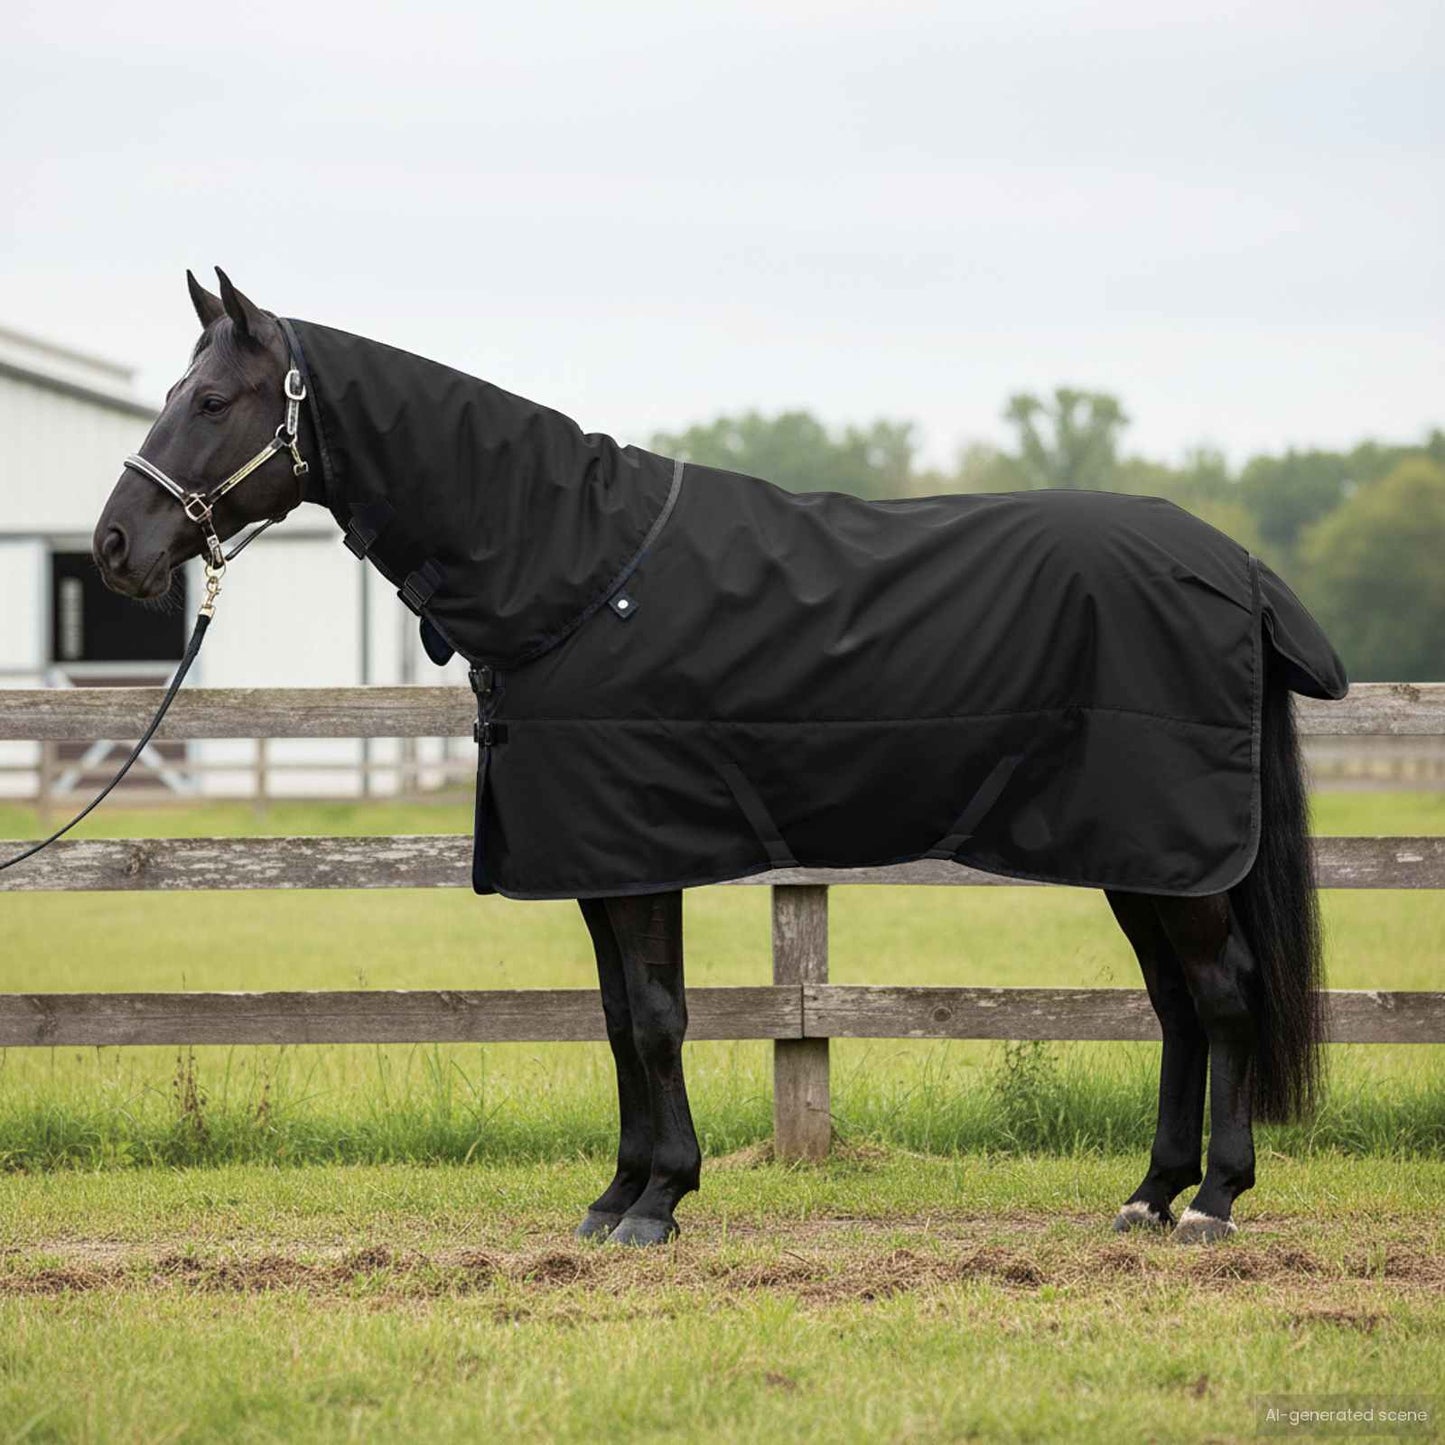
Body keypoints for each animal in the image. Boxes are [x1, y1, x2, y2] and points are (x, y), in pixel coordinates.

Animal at [92, 269, 1343, 1247]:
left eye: (211, 399)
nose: (114, 545)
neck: (575, 568)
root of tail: (1233, 563)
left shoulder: (638, 849)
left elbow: (654, 1016)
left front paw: (657, 1202)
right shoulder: (596, 862)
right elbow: (615, 1017)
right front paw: (616, 1195)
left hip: (1168, 847)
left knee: (1221, 994)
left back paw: (1211, 1201)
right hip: (1140, 856)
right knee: (1177, 1006)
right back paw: (1146, 1194)